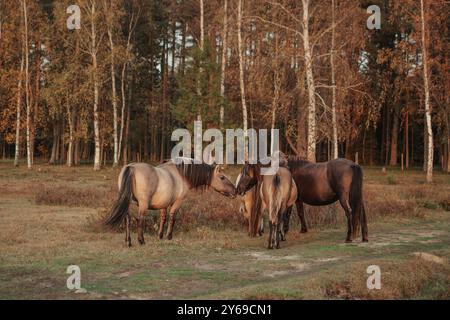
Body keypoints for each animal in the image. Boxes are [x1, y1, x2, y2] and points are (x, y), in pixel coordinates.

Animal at [105, 159, 237, 246]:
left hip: (128, 202)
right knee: (139, 219)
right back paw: (141, 240)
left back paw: (128, 241)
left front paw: (160, 235)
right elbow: (173, 217)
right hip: (142, 204)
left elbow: (163, 218)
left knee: (127, 218)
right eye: (222, 177)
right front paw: (169, 236)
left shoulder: (164, 204)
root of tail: (131, 167)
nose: (235, 191)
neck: (181, 175)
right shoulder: (178, 202)